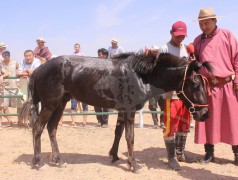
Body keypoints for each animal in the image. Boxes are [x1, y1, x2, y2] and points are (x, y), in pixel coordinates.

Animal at [20, 51, 212, 172]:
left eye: (205, 83)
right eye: (195, 84)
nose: (205, 114)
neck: (140, 75)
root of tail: (38, 69)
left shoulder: (122, 110)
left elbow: (118, 133)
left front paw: (114, 156)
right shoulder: (129, 110)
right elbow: (130, 137)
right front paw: (133, 164)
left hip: (60, 104)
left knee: (51, 128)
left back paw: (58, 160)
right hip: (49, 105)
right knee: (38, 128)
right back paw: (38, 162)